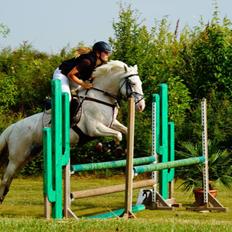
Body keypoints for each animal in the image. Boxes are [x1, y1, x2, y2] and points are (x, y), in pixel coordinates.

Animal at [0, 60, 145, 203]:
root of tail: (12, 127)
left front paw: (122, 149)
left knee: (9, 178)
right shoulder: (94, 128)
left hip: (27, 156)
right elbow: (118, 135)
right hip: (17, 157)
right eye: (132, 83)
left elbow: (125, 131)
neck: (101, 98)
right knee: (5, 179)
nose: (141, 106)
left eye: (141, 83)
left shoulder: (112, 123)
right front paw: (108, 148)